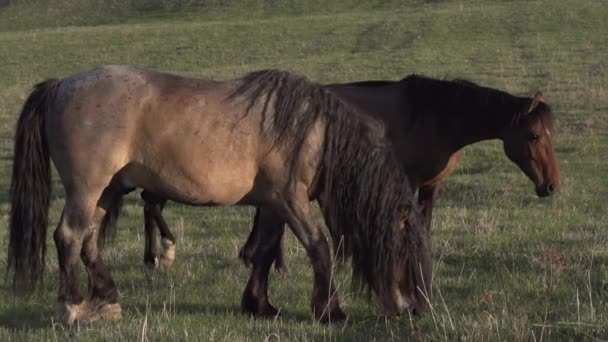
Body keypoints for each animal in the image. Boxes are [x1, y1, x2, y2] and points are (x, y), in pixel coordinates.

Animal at [5, 65, 432, 324]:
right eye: (405, 251)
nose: (415, 309)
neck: (312, 131)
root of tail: (61, 85)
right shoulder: (291, 201)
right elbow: (319, 248)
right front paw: (329, 310)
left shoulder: (274, 205)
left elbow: (264, 253)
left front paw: (259, 305)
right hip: (88, 188)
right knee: (69, 237)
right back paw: (74, 306)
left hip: (108, 190)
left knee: (90, 240)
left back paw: (107, 298)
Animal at [141, 75, 560, 276]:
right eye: (534, 136)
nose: (551, 186)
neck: (435, 116)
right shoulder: (405, 183)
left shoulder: (430, 187)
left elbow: (426, 224)